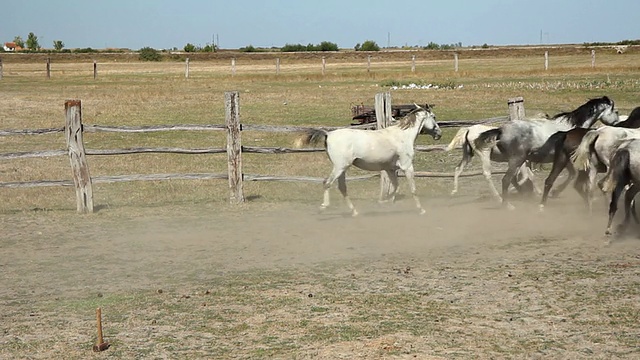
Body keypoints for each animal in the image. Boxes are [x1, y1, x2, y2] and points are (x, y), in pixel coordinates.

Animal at [294, 104, 440, 217]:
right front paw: (421, 210)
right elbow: (412, 189)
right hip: (340, 167)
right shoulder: (407, 166)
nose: (439, 134)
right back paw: (323, 207)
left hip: (342, 168)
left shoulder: (390, 169)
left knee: (342, 188)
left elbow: (395, 187)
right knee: (327, 183)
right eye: (433, 117)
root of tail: (328, 134)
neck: (403, 135)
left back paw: (354, 212)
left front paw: (384, 202)